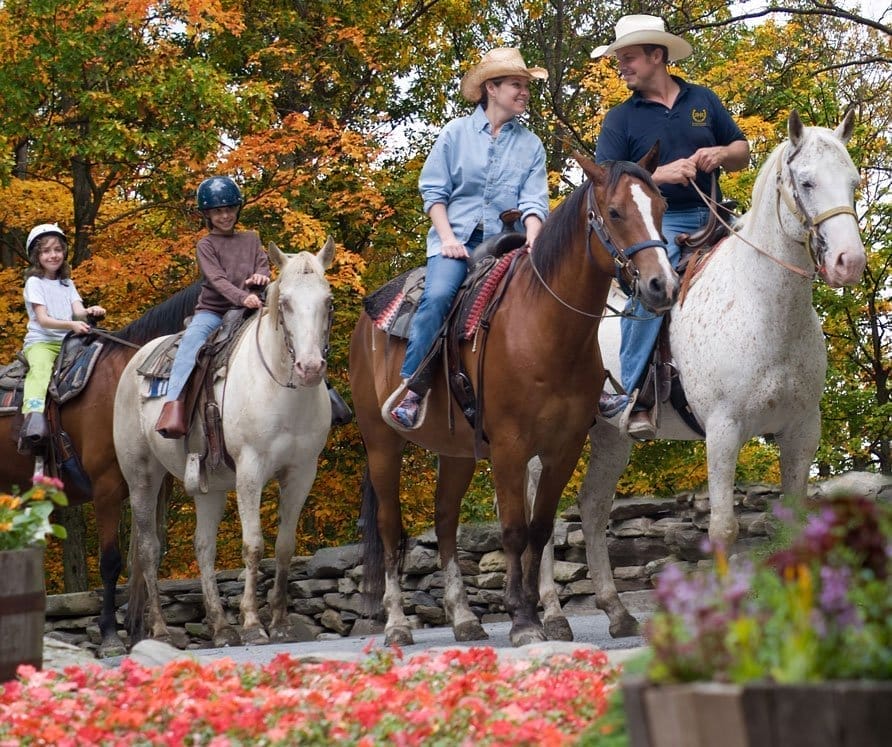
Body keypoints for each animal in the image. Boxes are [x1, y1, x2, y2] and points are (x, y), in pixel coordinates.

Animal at [0, 284, 199, 656]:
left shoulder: (151, 487)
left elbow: (145, 555)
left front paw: (141, 631)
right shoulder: (106, 488)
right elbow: (112, 562)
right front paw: (110, 636)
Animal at [113, 240, 332, 648]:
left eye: (329, 301)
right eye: (285, 303)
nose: (310, 368)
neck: (281, 388)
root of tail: (135, 360)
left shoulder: (301, 473)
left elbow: (284, 545)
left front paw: (280, 622)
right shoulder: (250, 469)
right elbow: (253, 544)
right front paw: (253, 623)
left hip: (208, 487)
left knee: (203, 547)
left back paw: (219, 627)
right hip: (142, 478)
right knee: (149, 550)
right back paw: (162, 630)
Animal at [348, 149, 676, 644]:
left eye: (661, 207)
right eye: (616, 212)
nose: (663, 286)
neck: (545, 327)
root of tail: (367, 319)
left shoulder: (563, 447)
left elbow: (539, 529)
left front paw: (541, 615)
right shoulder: (509, 447)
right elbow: (514, 530)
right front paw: (523, 620)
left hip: (457, 452)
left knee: (445, 520)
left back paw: (464, 619)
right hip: (382, 443)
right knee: (389, 527)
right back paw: (397, 626)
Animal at [532, 109, 868, 636]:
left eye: (853, 181)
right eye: (807, 182)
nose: (848, 262)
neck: (762, 305)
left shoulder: (801, 430)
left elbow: (795, 526)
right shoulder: (724, 429)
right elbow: (723, 529)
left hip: (611, 436)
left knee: (592, 507)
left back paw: (616, 611)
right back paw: (551, 613)